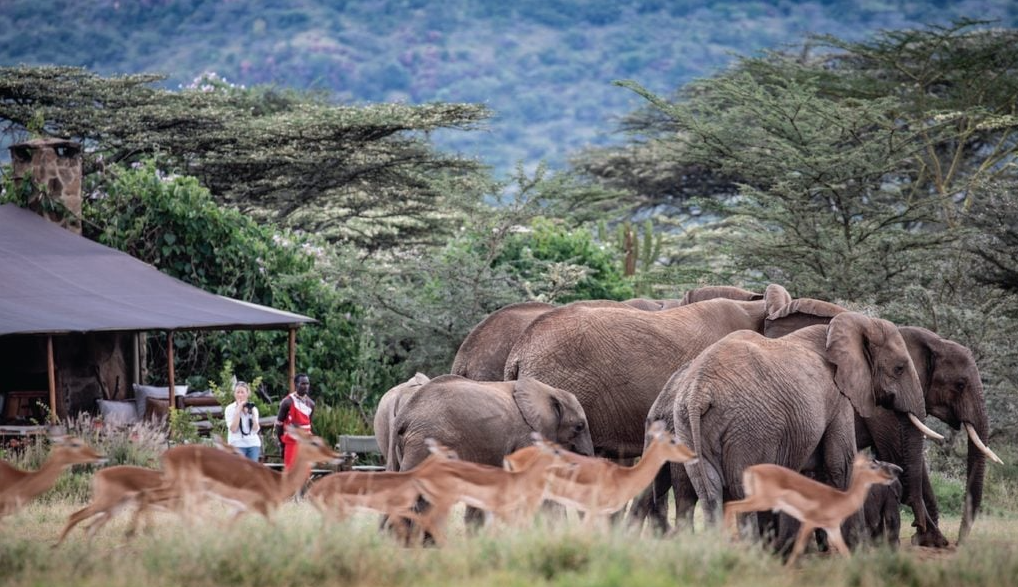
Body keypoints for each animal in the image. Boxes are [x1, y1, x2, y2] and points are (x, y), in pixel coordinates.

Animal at [667, 311, 936, 524]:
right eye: (899, 368)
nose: (918, 525)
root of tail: (699, 391)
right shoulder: (837, 396)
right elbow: (842, 464)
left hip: (687, 425)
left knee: (709, 493)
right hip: (749, 429)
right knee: (741, 491)